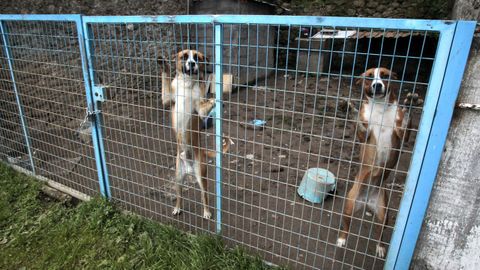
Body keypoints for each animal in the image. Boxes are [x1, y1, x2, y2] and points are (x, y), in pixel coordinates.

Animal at [160, 49, 232, 219]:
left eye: (197, 58)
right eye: (185, 56)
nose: (192, 64)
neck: (187, 84)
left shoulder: (200, 109)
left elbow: (206, 105)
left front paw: (215, 100)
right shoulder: (167, 99)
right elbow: (165, 80)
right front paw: (164, 64)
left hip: (201, 176)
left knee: (204, 196)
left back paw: (206, 212)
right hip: (178, 178)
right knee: (179, 196)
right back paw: (177, 208)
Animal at [338, 67, 424, 258]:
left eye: (385, 75)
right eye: (369, 77)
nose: (377, 85)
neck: (380, 108)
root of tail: (366, 201)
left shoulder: (402, 133)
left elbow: (406, 120)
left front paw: (410, 104)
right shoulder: (364, 134)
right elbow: (358, 122)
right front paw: (350, 110)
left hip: (384, 214)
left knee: (379, 233)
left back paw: (380, 247)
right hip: (349, 204)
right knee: (346, 225)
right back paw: (341, 239)